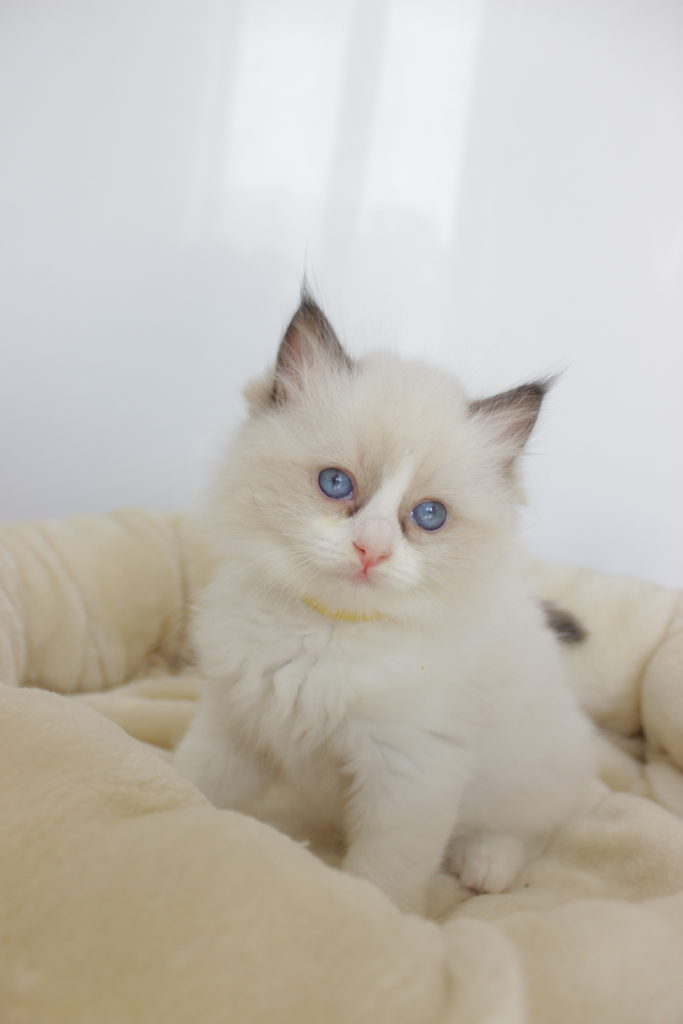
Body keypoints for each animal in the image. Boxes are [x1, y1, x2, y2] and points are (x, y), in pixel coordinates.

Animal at [175, 292, 593, 917]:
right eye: (335, 483)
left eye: (429, 516)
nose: (371, 550)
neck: (326, 633)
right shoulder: (236, 721)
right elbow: (193, 782)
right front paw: (168, 805)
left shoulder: (412, 771)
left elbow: (384, 877)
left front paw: (372, 916)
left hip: (534, 768)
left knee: (531, 828)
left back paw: (486, 865)